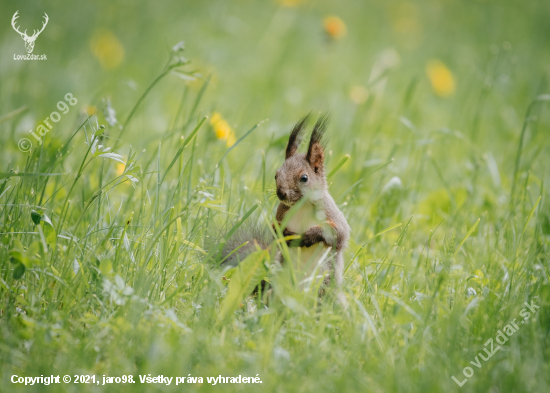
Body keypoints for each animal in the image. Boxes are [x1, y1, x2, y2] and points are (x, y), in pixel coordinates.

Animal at [222, 115, 352, 302]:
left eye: (304, 178)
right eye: (276, 175)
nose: (281, 193)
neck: (302, 205)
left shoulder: (331, 212)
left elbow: (340, 234)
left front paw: (310, 236)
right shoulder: (281, 214)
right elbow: (275, 232)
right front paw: (286, 235)